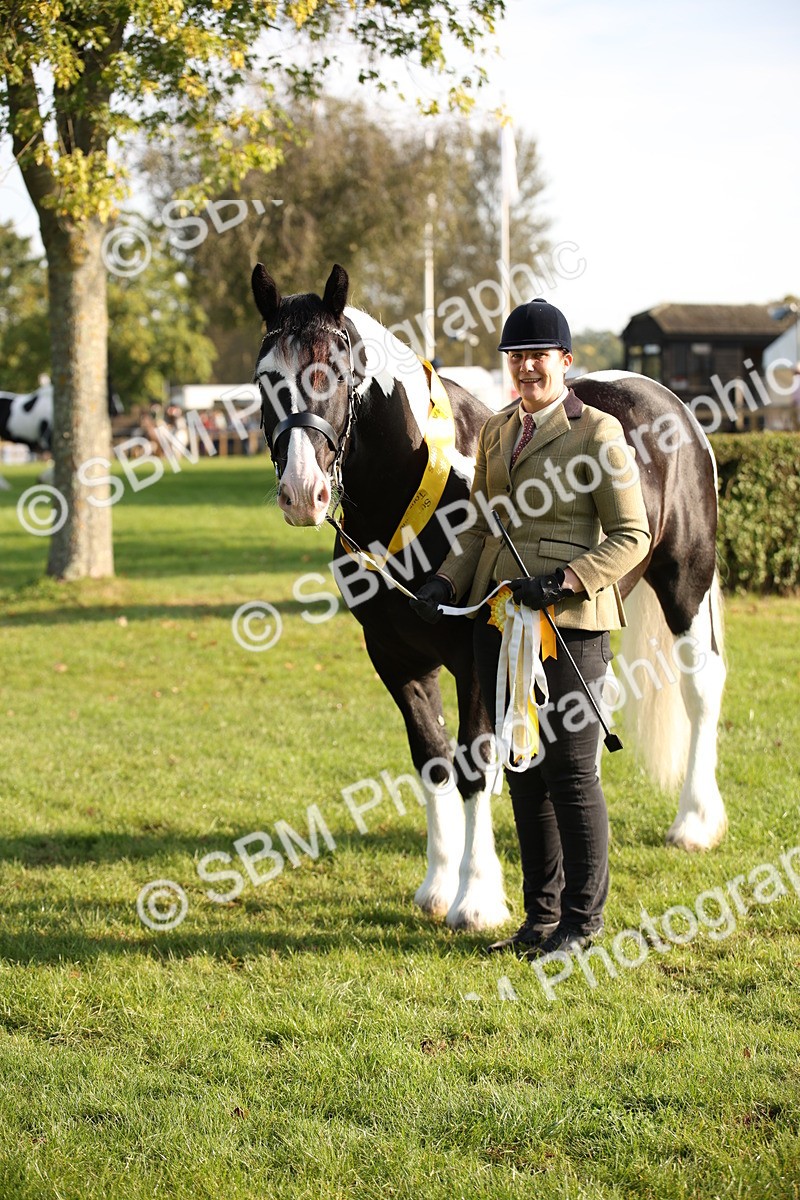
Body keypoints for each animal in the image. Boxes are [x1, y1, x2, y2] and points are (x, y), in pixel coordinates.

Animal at [250, 263, 727, 932]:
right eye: (266, 377)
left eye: (335, 374)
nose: (302, 492)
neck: (416, 490)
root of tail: (669, 404)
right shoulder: (394, 657)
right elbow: (432, 759)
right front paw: (437, 885)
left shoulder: (476, 651)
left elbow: (474, 764)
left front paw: (477, 897)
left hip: (686, 581)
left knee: (700, 688)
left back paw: (695, 822)